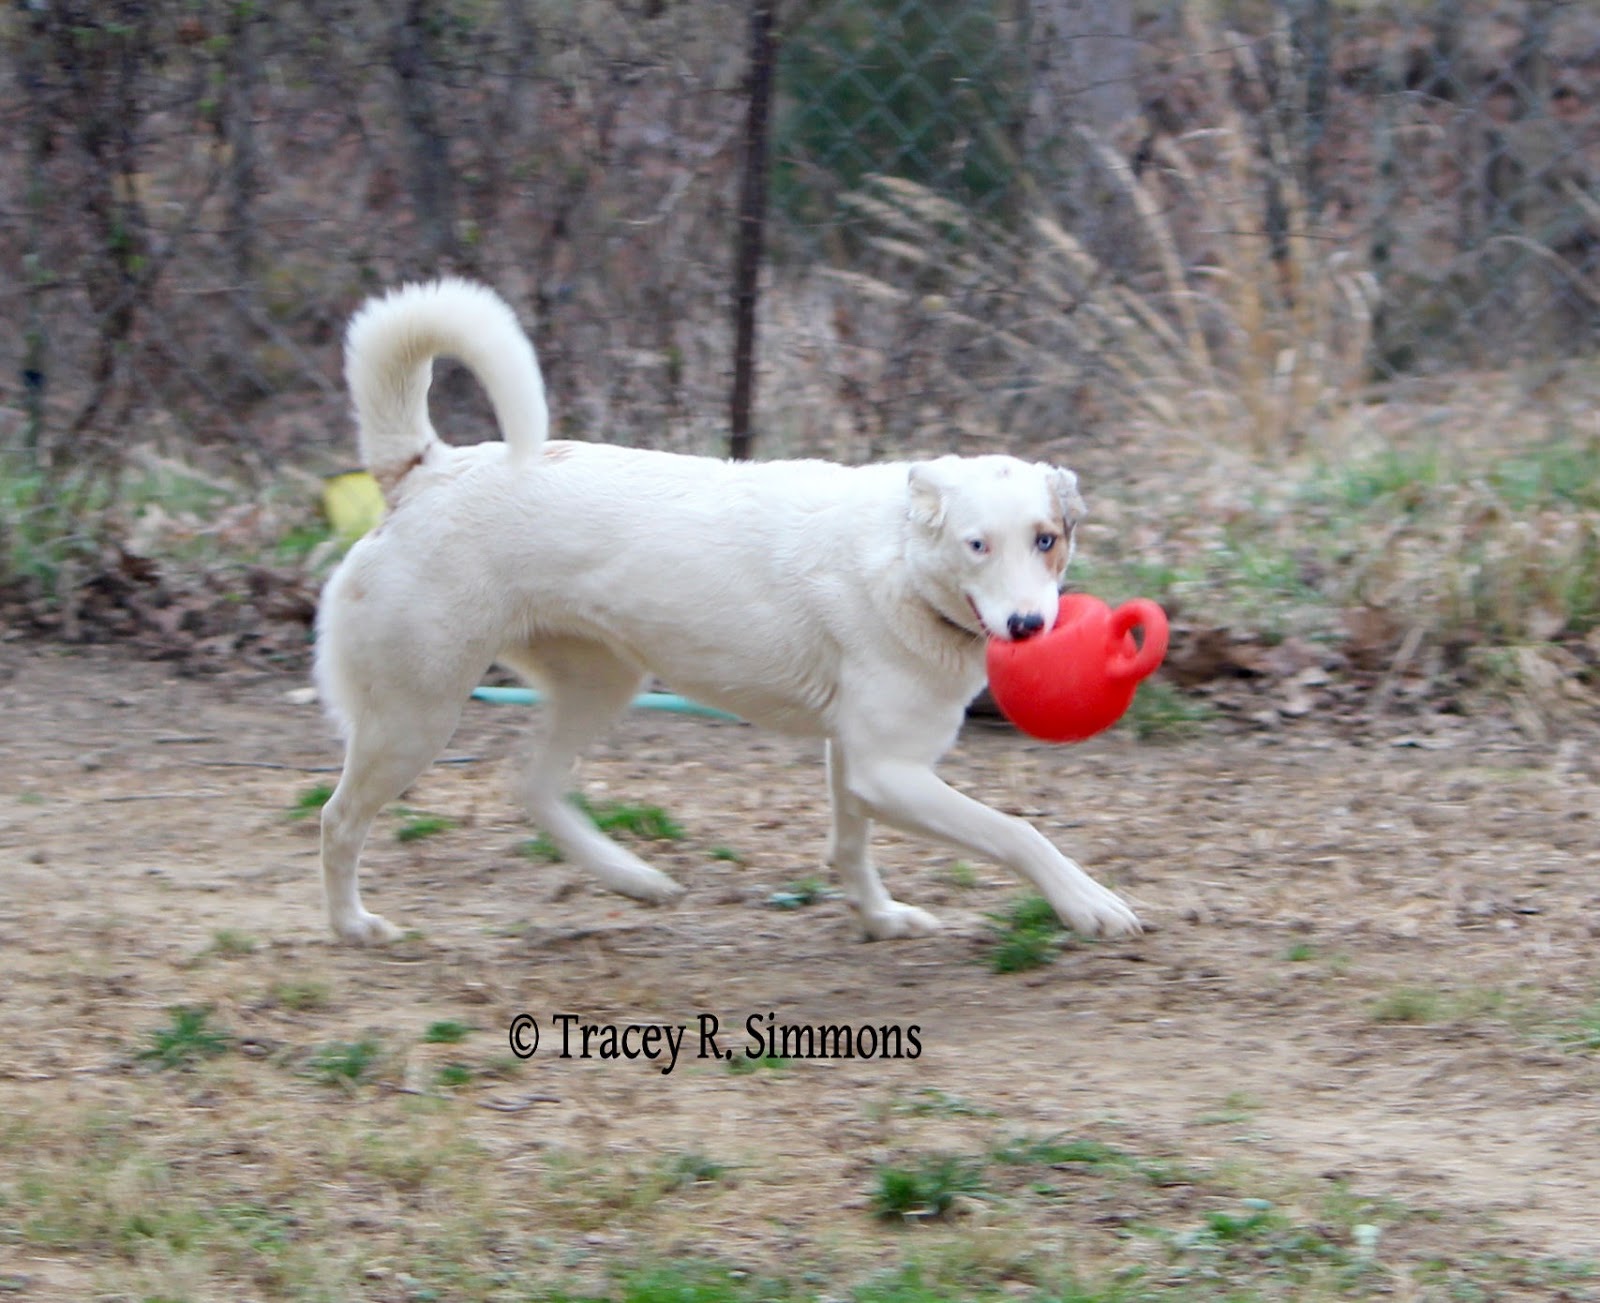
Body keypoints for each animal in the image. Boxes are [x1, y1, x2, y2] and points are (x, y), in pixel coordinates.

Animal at [314, 278, 1142, 946]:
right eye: (977, 545)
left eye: (1045, 539)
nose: (1029, 628)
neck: (901, 566)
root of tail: (426, 469)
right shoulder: (888, 769)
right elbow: (1018, 831)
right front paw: (1088, 904)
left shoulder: (856, 764)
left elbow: (850, 848)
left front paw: (879, 918)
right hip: (414, 718)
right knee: (340, 819)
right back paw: (354, 925)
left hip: (601, 685)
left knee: (531, 785)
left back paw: (631, 875)